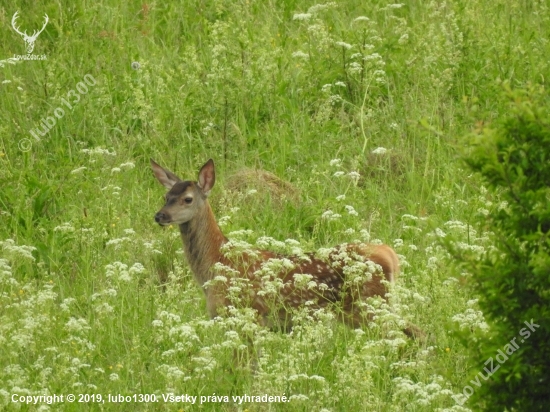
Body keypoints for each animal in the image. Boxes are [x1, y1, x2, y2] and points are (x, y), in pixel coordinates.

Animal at [151, 159, 422, 340]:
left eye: (187, 199)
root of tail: (390, 254)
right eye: (166, 196)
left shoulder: (247, 314)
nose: (160, 216)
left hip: (370, 306)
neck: (215, 262)